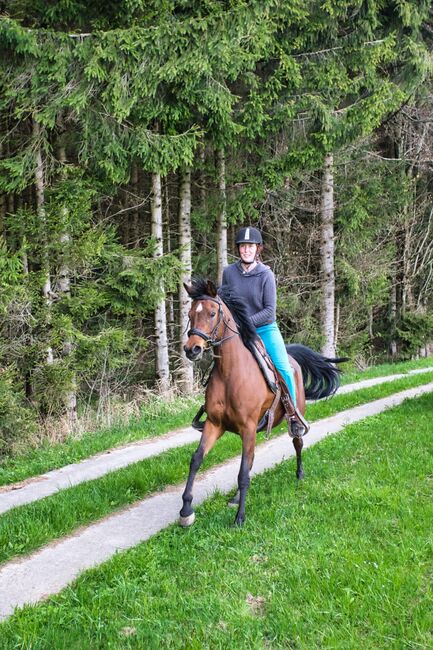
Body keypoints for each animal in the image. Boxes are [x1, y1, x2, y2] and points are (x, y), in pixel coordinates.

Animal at [179, 276, 344, 524]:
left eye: (212, 313)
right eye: (190, 314)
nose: (192, 349)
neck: (230, 374)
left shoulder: (248, 427)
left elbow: (243, 473)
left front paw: (239, 518)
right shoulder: (215, 424)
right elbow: (197, 459)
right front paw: (186, 511)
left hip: (292, 419)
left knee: (297, 443)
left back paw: (300, 474)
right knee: (250, 459)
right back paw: (236, 497)